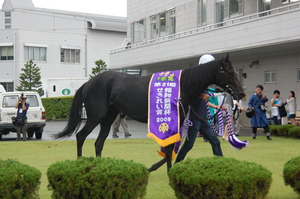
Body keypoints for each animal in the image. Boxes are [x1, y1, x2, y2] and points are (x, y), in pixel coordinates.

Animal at [55, 54, 245, 171]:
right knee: (81, 136)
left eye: (234, 71)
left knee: (98, 143)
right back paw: (80, 164)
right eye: (228, 72)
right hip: (96, 116)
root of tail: (89, 83)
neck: (182, 85)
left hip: (108, 118)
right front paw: (167, 171)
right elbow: (168, 150)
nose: (241, 93)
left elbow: (170, 149)